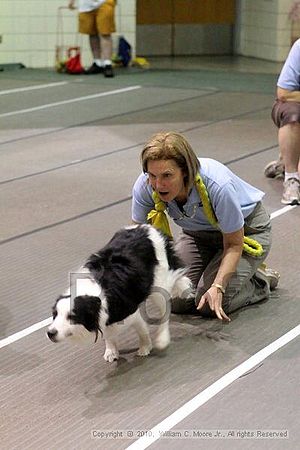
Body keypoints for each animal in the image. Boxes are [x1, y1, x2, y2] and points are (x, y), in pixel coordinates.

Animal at [47, 225, 192, 362]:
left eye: (72, 316)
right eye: (55, 314)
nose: (50, 333)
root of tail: (147, 228)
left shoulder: (132, 313)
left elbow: (142, 330)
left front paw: (145, 347)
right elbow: (108, 334)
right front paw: (111, 351)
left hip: (159, 285)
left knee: (165, 310)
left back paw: (163, 338)